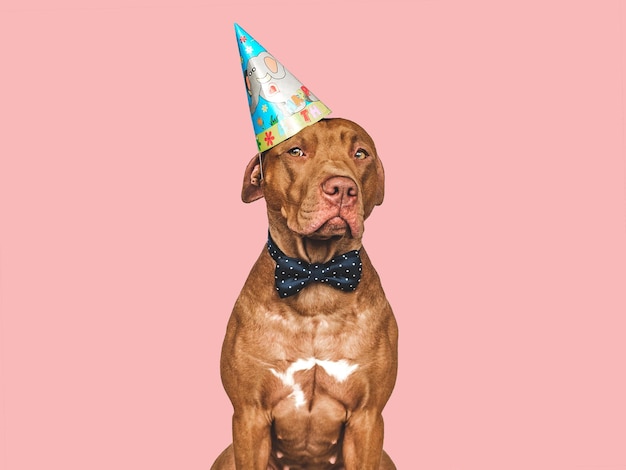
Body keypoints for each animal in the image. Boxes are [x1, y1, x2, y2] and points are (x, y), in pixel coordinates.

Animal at [210, 117, 394, 470]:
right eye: (296, 151)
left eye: (360, 153)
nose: (343, 189)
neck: (316, 281)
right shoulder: (249, 416)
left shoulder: (366, 418)